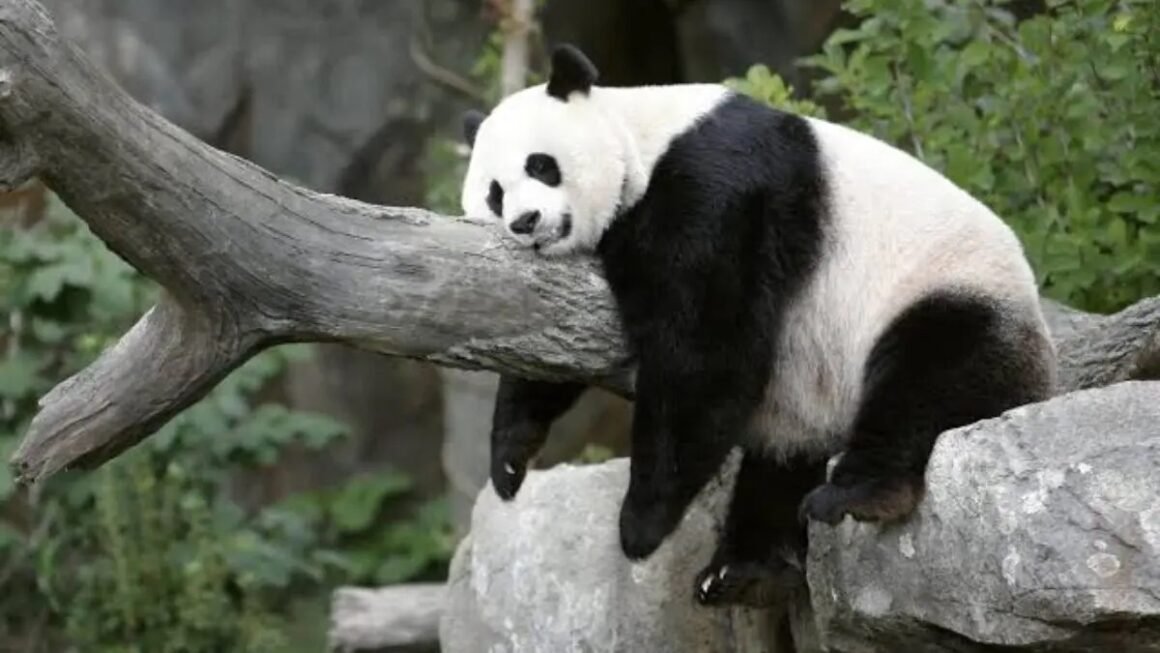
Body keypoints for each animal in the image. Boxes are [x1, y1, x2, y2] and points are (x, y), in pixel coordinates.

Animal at [460, 44, 1057, 607]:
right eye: (494, 192)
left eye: (541, 165)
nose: (526, 222)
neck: (642, 138)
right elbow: (553, 343)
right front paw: (509, 460)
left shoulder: (717, 188)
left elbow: (704, 348)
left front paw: (640, 525)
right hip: (810, 397)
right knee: (783, 461)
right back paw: (742, 568)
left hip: (949, 292)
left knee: (926, 379)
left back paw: (858, 495)